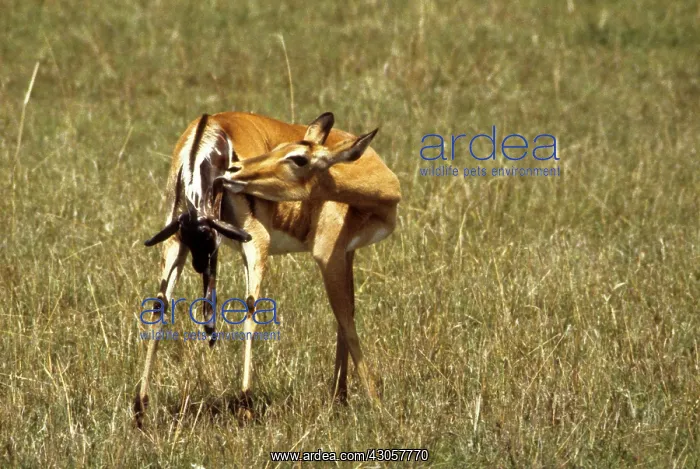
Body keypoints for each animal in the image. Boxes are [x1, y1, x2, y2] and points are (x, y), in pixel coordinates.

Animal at [134, 111, 401, 428]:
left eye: (295, 155)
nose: (235, 170)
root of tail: (207, 128)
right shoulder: (328, 254)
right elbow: (346, 320)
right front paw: (375, 403)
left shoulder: (347, 252)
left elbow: (345, 316)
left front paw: (341, 397)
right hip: (255, 242)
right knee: (250, 306)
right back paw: (246, 404)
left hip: (175, 239)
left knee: (159, 305)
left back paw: (140, 410)